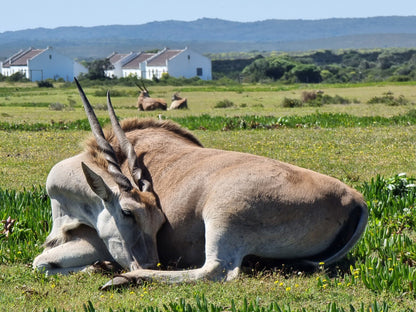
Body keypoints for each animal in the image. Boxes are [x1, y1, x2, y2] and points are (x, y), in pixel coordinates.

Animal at [34, 78, 368, 290]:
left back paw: (123, 280)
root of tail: (354, 199)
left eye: (159, 223)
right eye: (128, 213)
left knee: (217, 271)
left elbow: (40, 262)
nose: (151, 263)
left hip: (222, 219)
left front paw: (101, 268)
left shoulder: (93, 245)